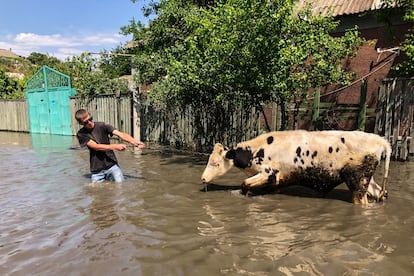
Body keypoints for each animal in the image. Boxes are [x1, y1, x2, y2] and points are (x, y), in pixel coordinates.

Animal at [201, 130, 392, 205]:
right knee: (379, 193)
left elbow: (244, 184)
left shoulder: (269, 173)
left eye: (215, 163)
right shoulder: (277, 182)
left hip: (357, 182)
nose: (203, 178)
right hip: (367, 181)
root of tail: (380, 140)